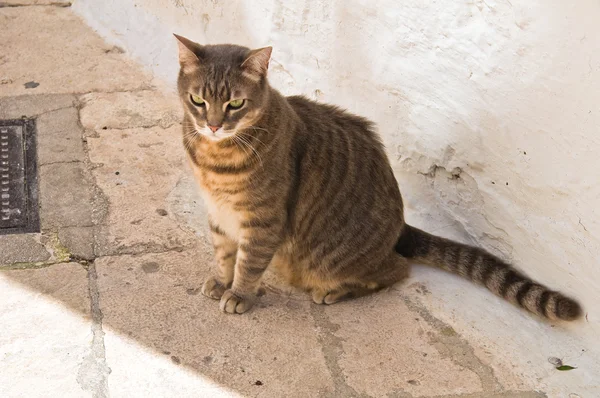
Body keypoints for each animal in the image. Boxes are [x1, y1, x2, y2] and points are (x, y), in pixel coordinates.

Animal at [173, 32, 580, 322]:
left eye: (235, 104)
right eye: (198, 100)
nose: (212, 125)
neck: (215, 159)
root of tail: (400, 225)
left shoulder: (264, 219)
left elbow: (249, 262)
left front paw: (239, 293)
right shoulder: (218, 212)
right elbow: (225, 254)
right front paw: (223, 281)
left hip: (329, 257)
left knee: (395, 270)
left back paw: (335, 291)